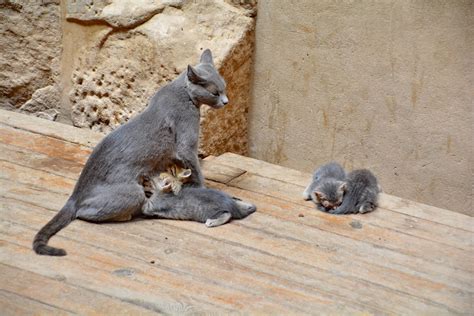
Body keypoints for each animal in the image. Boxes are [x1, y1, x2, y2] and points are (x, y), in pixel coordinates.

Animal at [33, 50, 243, 256]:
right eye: (215, 92)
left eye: (224, 89)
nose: (226, 101)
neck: (182, 93)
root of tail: (75, 195)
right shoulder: (186, 140)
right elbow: (195, 169)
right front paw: (202, 189)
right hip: (134, 193)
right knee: (84, 213)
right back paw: (125, 216)